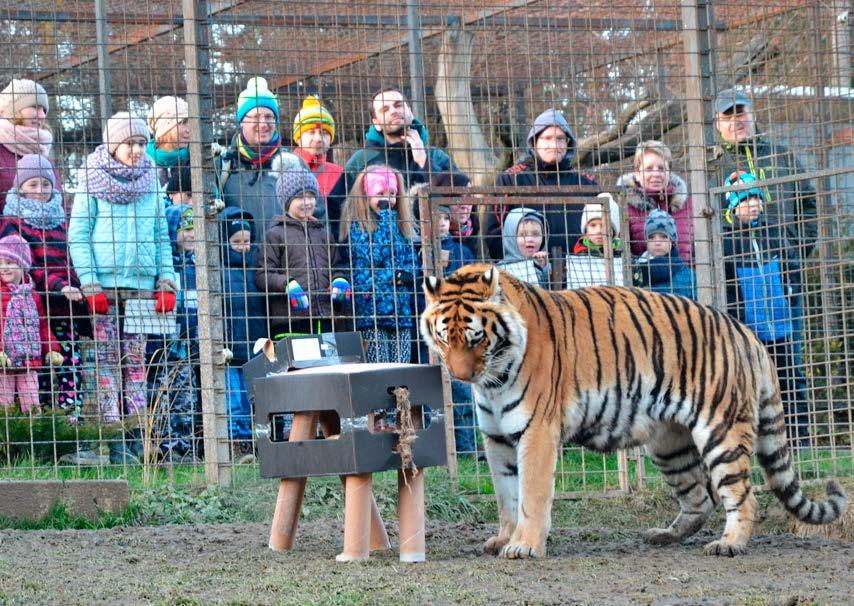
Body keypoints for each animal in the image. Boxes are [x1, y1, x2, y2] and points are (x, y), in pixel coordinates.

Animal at [418, 266, 844, 560]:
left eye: (477, 338)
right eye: (444, 338)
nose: (461, 376)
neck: (493, 378)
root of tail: (745, 331)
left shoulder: (536, 431)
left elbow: (531, 495)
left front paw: (524, 545)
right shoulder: (496, 437)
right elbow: (506, 494)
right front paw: (505, 538)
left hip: (720, 431)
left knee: (742, 494)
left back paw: (729, 544)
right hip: (670, 444)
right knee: (700, 498)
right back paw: (665, 536)